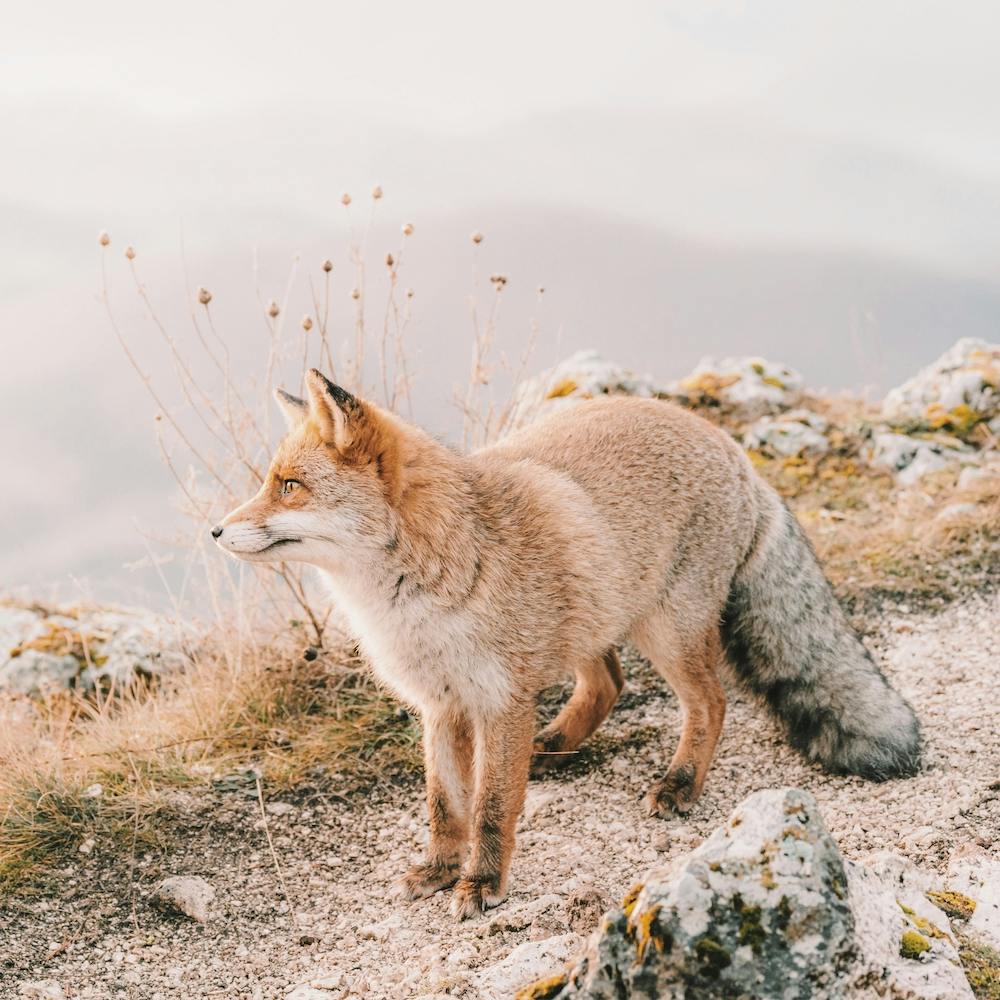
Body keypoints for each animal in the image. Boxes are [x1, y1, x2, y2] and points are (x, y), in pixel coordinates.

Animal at [213, 369, 921, 919]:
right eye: (270, 482)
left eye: (289, 486)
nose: (214, 532)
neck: (419, 595)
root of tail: (731, 446)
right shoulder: (442, 705)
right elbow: (446, 805)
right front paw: (439, 869)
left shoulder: (499, 702)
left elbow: (492, 807)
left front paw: (481, 884)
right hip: (594, 614)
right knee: (610, 682)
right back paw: (556, 744)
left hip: (664, 630)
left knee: (711, 703)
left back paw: (680, 784)